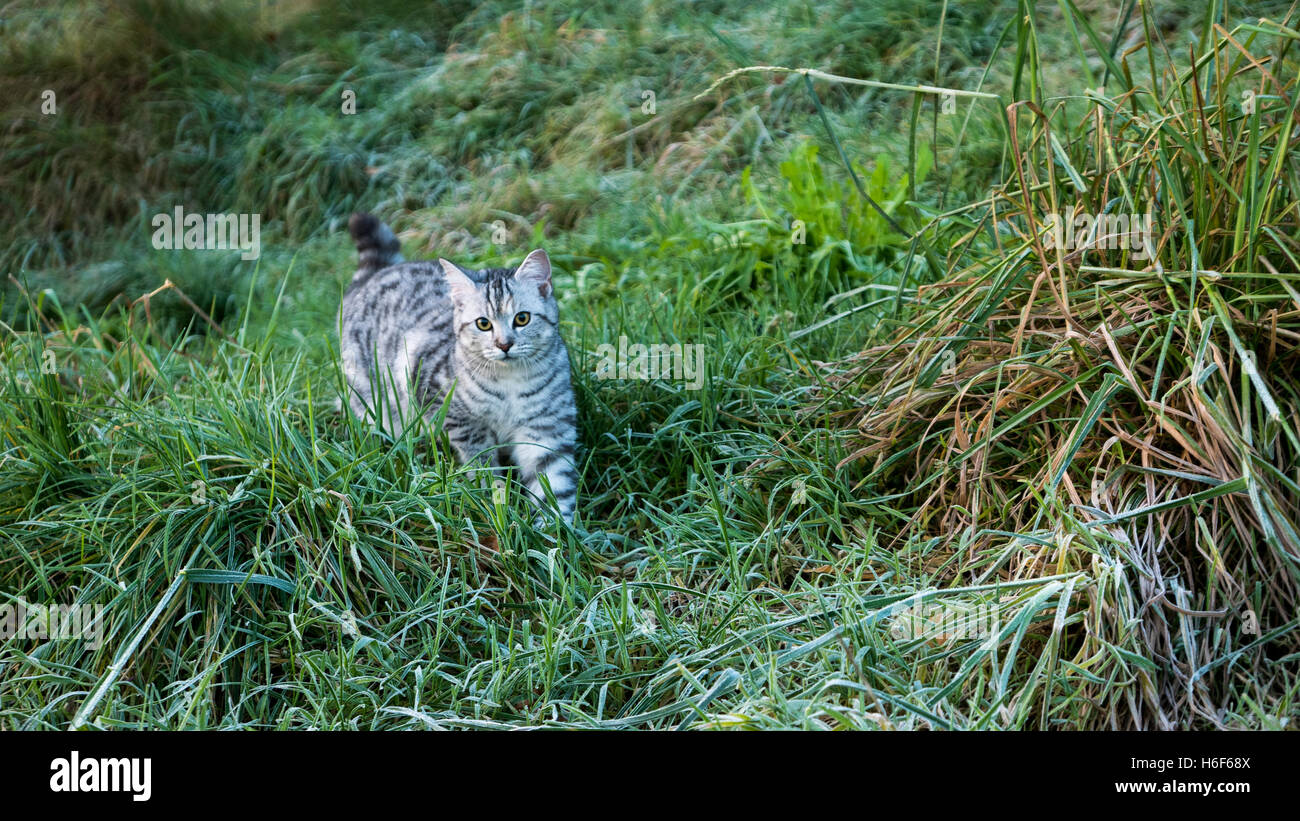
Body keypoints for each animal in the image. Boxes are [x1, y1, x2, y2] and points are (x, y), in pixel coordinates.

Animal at [340, 207, 579, 522]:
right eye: (483, 323)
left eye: (522, 318)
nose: (504, 345)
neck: (511, 385)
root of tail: (376, 274)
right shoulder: (452, 412)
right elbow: (482, 464)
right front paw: (498, 504)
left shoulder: (547, 428)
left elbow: (555, 485)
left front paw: (556, 530)